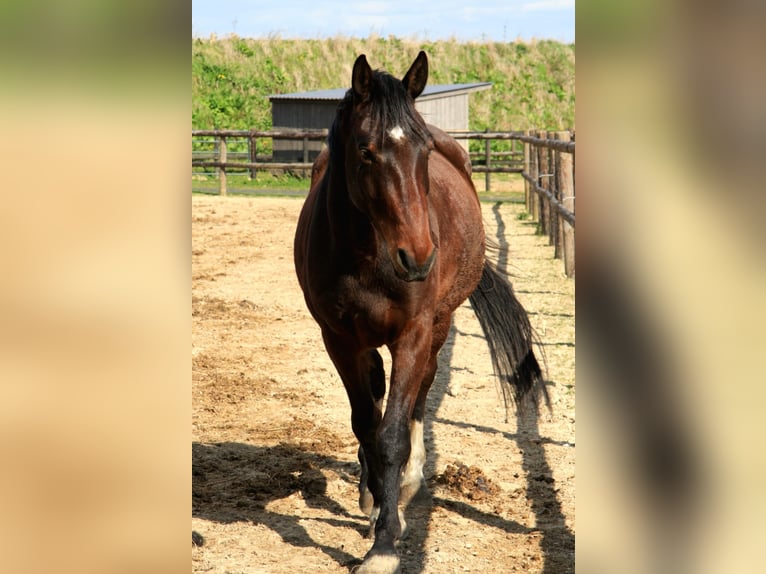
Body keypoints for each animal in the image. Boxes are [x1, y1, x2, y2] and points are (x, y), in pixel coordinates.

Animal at [294, 51, 546, 574]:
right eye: (366, 151)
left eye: (423, 150)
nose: (419, 256)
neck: (367, 255)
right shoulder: (339, 339)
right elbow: (366, 423)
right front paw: (374, 503)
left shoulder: (413, 333)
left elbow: (393, 433)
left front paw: (385, 543)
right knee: (376, 393)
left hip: (438, 328)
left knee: (420, 397)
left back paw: (407, 483)